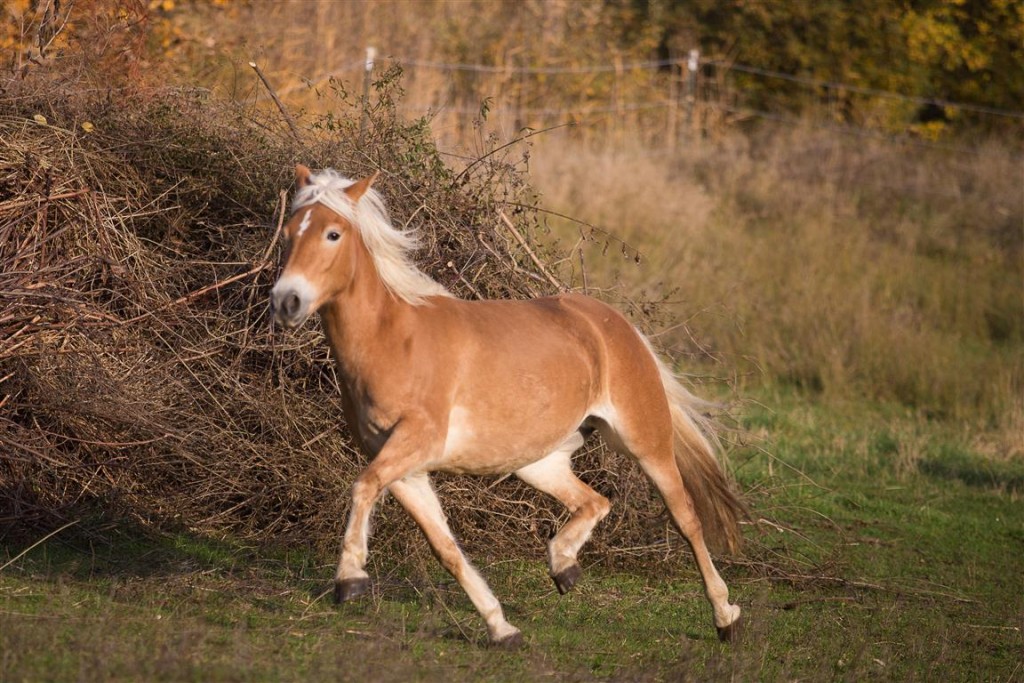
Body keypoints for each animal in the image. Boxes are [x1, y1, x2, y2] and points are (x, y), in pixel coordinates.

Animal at [264, 165, 745, 647]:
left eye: (333, 234)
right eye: (286, 235)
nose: (286, 301)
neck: (393, 339)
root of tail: (613, 322)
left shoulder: (415, 443)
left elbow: (361, 487)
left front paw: (349, 579)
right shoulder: (404, 469)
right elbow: (445, 548)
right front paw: (501, 628)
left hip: (645, 442)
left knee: (687, 519)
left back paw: (725, 617)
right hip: (538, 462)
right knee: (595, 502)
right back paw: (563, 567)